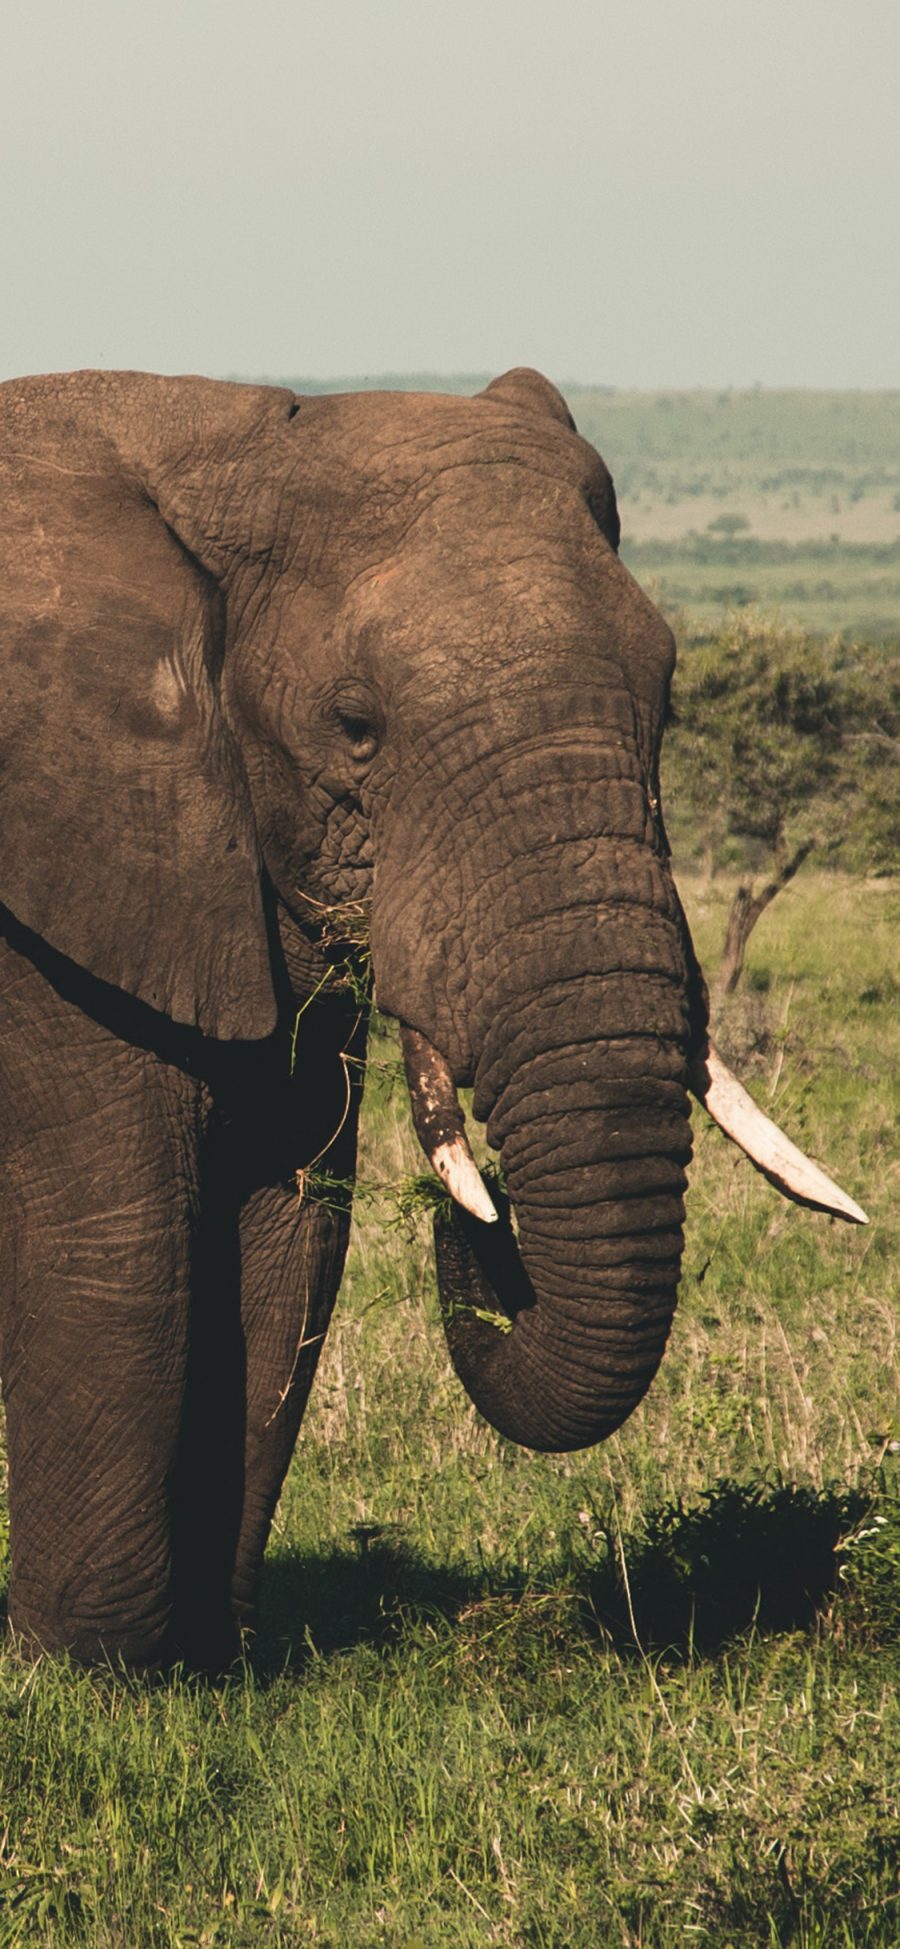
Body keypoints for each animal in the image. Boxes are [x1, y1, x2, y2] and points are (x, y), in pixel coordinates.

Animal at [0, 362, 864, 1660]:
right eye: (355, 725)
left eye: (666, 698)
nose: (484, 1218)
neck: (226, 436)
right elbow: (121, 1247)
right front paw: (93, 1670)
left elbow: (288, 1230)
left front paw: (218, 1665)